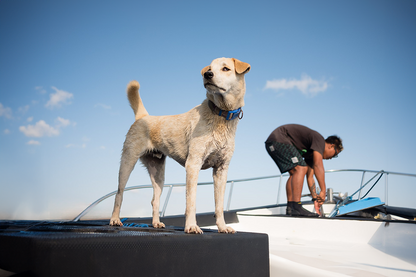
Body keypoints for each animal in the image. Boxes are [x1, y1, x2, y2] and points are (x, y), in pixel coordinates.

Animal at [109, 57, 250, 232]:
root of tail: (143, 117)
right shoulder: (193, 164)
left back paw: (156, 223)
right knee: (119, 193)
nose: (207, 74)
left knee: (154, 200)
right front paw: (191, 226)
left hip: (158, 173)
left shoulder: (221, 169)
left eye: (225, 68)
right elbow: (191, 201)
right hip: (127, 162)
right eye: (209, 69)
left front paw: (222, 227)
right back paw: (115, 219)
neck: (220, 115)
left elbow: (219, 204)